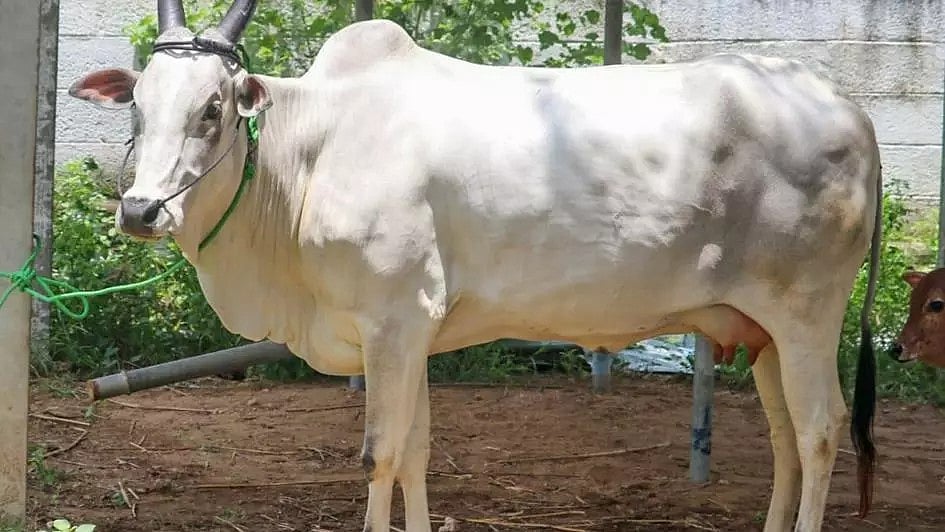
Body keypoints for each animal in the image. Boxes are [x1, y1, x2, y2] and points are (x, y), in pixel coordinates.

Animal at [67, 1, 883, 530]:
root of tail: (848, 107)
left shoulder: (393, 324)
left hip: (806, 315)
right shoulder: (413, 334)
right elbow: (416, 453)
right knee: (784, 441)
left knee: (818, 433)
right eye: (137, 105)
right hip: (761, 332)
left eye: (213, 108)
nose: (140, 211)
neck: (309, 153)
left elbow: (379, 455)